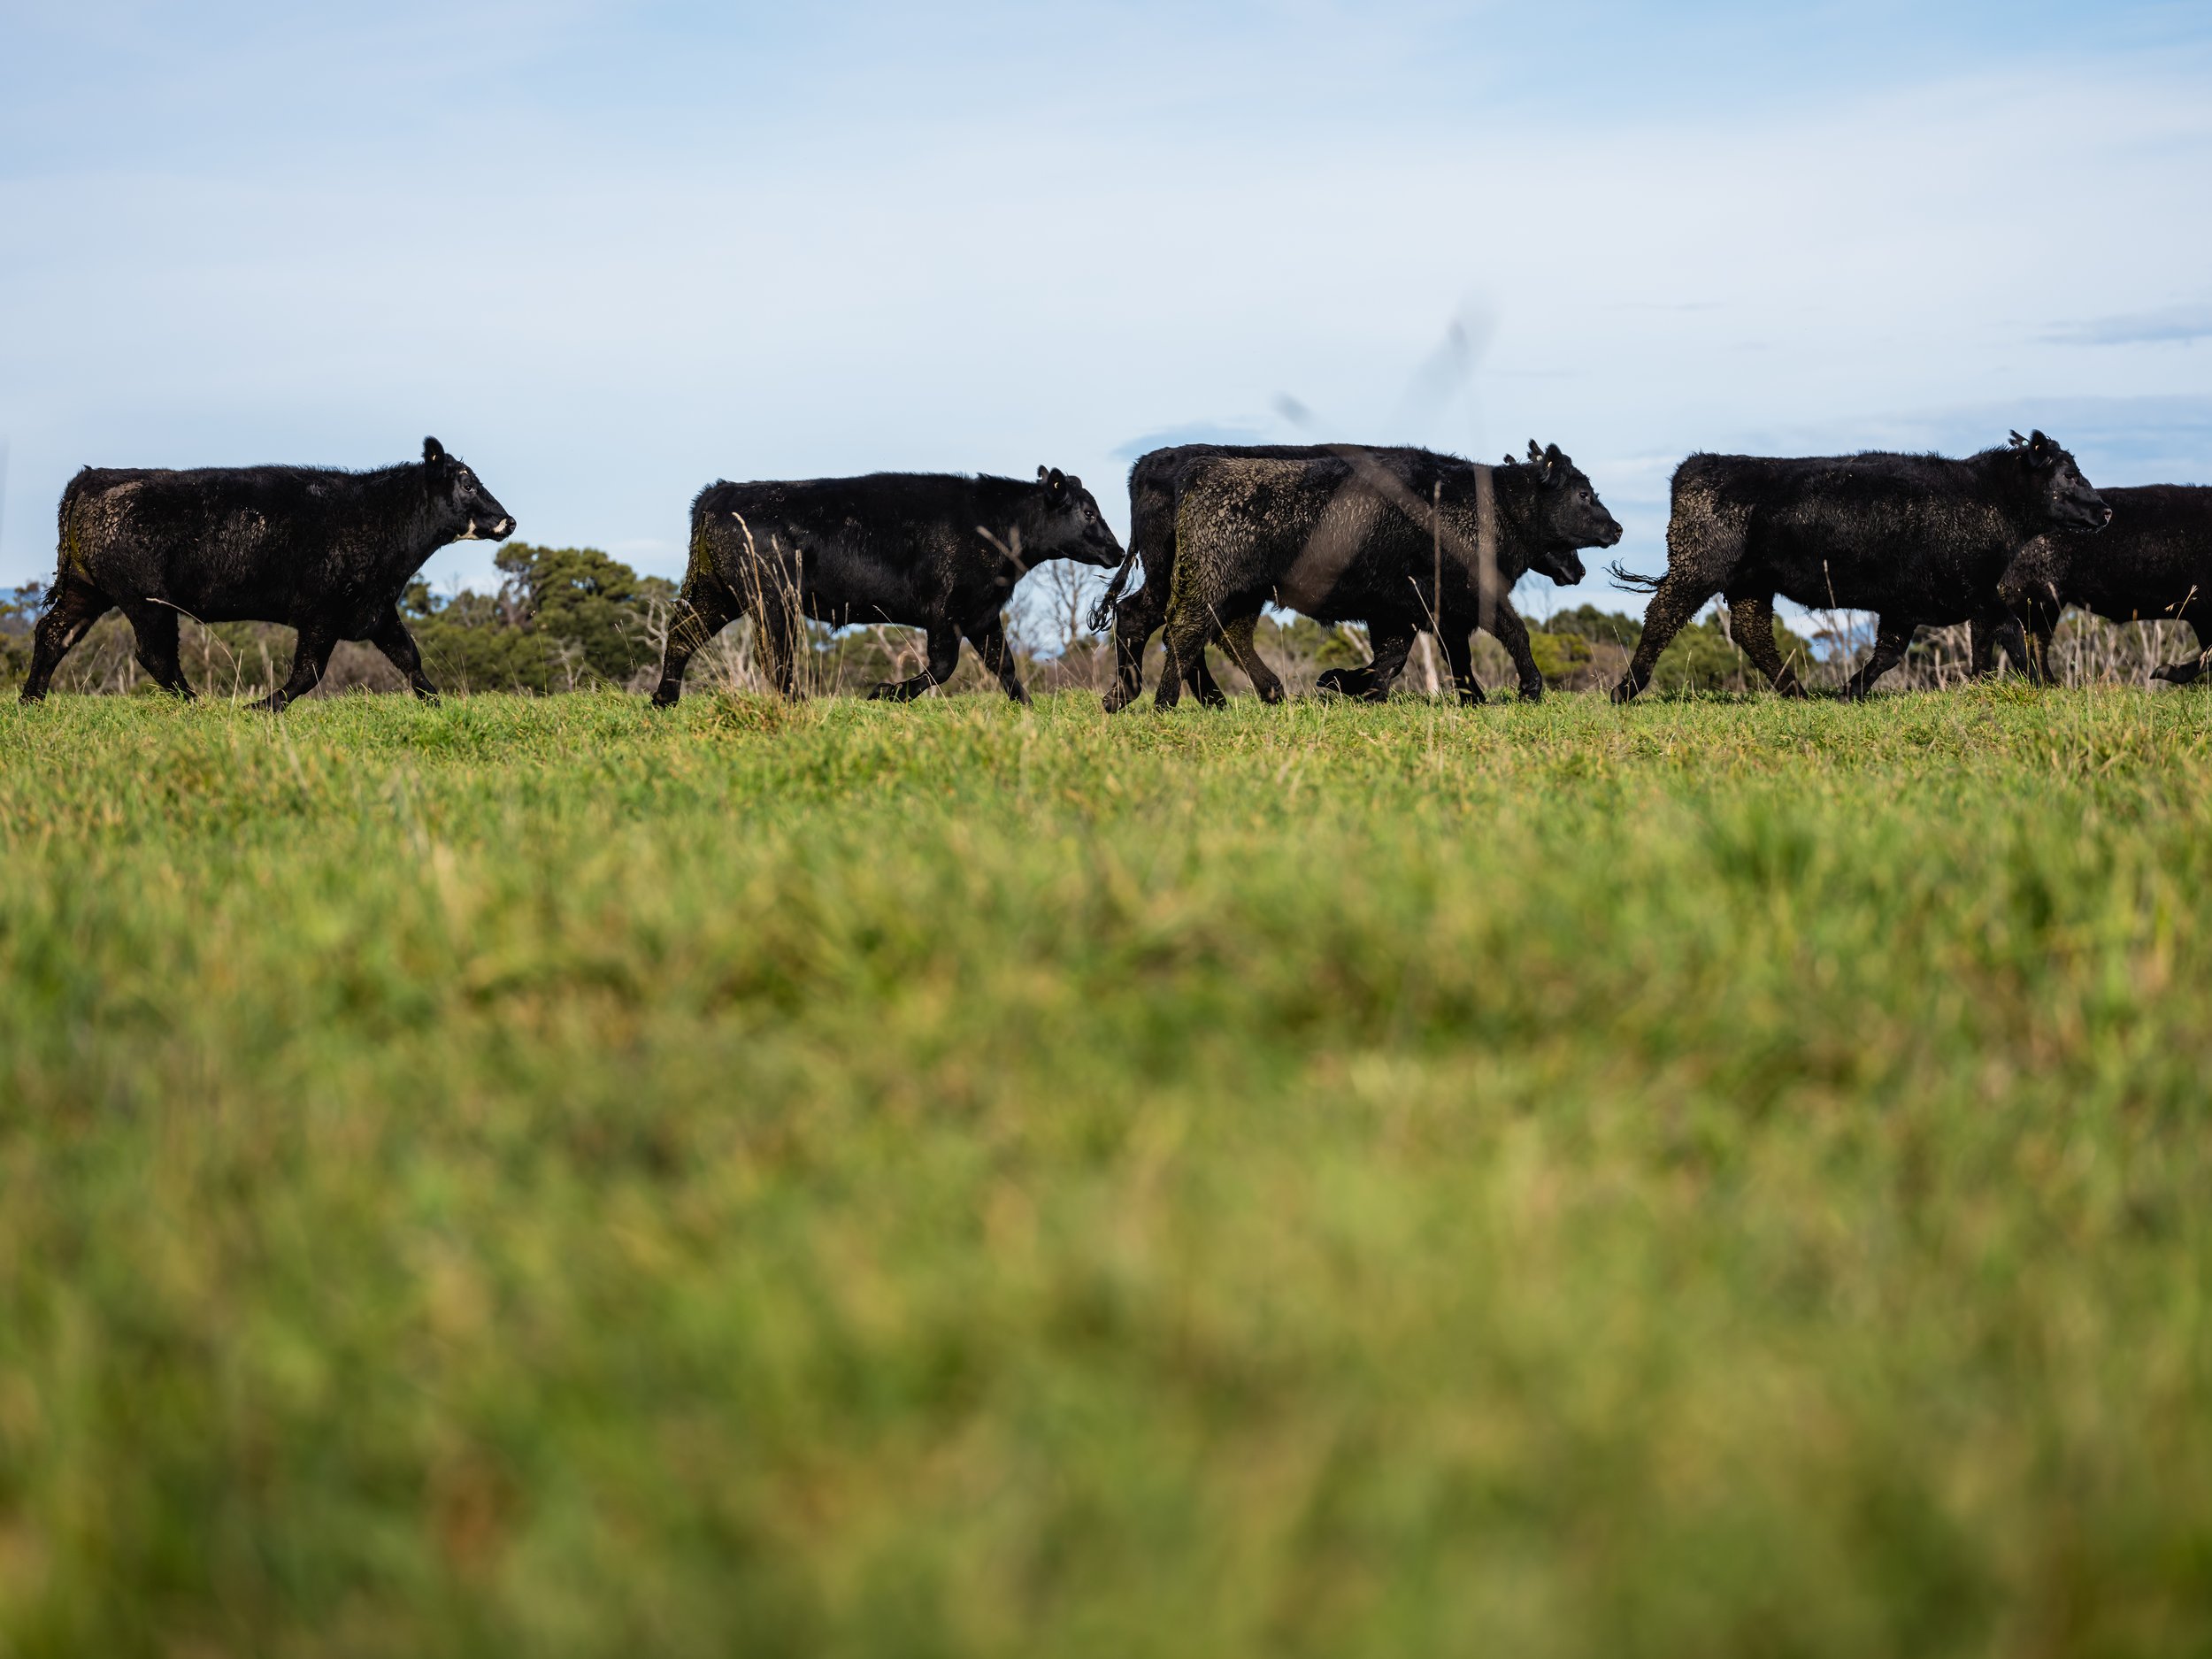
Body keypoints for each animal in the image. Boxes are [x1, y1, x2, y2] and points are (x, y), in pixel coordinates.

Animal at [22, 438, 513, 712]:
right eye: (467, 482)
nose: (508, 521)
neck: (378, 515)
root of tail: (93, 477)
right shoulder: (322, 613)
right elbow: (308, 674)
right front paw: (259, 708)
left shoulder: (376, 610)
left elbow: (410, 659)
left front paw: (438, 705)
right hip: (147, 601)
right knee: (155, 656)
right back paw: (199, 706)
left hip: (88, 591)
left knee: (53, 634)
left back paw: (31, 702)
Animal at [646, 469, 1124, 708]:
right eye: (1088, 511)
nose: (1119, 551)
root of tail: (719, 493)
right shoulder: (947, 612)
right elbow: (944, 666)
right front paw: (886, 694)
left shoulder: (982, 613)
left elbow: (1003, 665)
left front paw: (1027, 710)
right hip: (771, 598)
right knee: (773, 656)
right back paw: (801, 704)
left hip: (718, 591)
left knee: (684, 632)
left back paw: (664, 699)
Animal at [1150, 444, 1619, 712]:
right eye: (1583, 493)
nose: (1616, 529)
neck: (1494, 504)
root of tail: (1202, 472)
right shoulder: (1466, 598)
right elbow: (1513, 633)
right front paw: (1529, 689)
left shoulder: (1410, 613)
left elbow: (1413, 659)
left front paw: (1349, 684)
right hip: (1209, 587)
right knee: (1185, 634)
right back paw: (1164, 703)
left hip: (1244, 595)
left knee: (1230, 637)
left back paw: (1270, 692)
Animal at [1610, 429, 2106, 703]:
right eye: (2068, 474)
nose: (2105, 510)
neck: (1989, 495)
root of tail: (1697, 465)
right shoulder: (1966, 594)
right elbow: (2010, 635)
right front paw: (2041, 686)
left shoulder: (1929, 602)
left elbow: (1906, 650)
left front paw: (1851, 690)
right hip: (1697, 570)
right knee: (1663, 615)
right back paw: (1626, 690)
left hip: (1751, 583)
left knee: (1751, 632)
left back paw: (1797, 693)